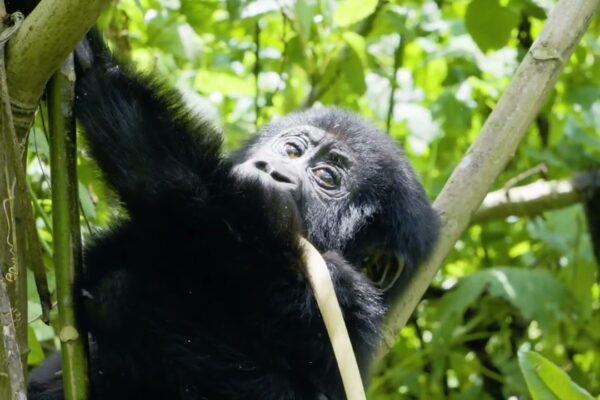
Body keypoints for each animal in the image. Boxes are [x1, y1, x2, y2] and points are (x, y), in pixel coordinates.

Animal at [28, 32, 438, 400]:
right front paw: (86, 57)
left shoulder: (337, 292)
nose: (270, 169)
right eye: (292, 150)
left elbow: (194, 203)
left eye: (326, 176)